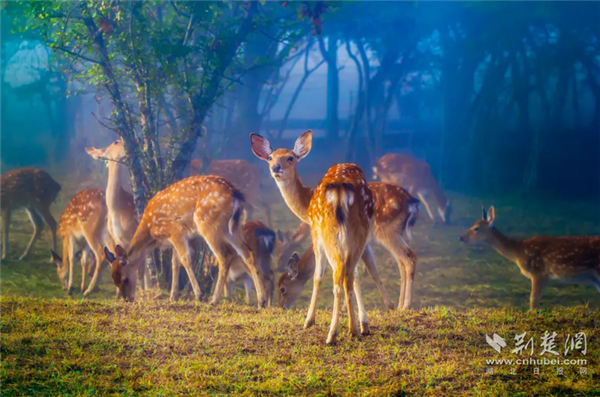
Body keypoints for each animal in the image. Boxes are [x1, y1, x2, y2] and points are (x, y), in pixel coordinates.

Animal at [103, 175, 270, 304]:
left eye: (125, 279)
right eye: (114, 280)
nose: (127, 299)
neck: (151, 230)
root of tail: (235, 194)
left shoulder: (175, 231)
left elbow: (185, 259)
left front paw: (198, 295)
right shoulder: (181, 238)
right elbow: (175, 263)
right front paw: (173, 296)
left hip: (208, 224)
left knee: (224, 256)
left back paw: (214, 300)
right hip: (232, 228)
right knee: (248, 253)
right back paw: (261, 300)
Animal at [251, 129, 420, 310]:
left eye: (290, 157)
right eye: (270, 158)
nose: (276, 167)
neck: (307, 201)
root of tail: (412, 203)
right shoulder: (364, 242)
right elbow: (370, 270)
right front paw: (387, 305)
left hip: (386, 230)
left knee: (409, 257)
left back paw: (406, 305)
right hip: (394, 231)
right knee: (401, 262)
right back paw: (400, 305)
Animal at [462, 206, 596, 310]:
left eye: (476, 228)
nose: (461, 237)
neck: (518, 251)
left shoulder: (538, 272)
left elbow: (533, 302)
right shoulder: (546, 277)